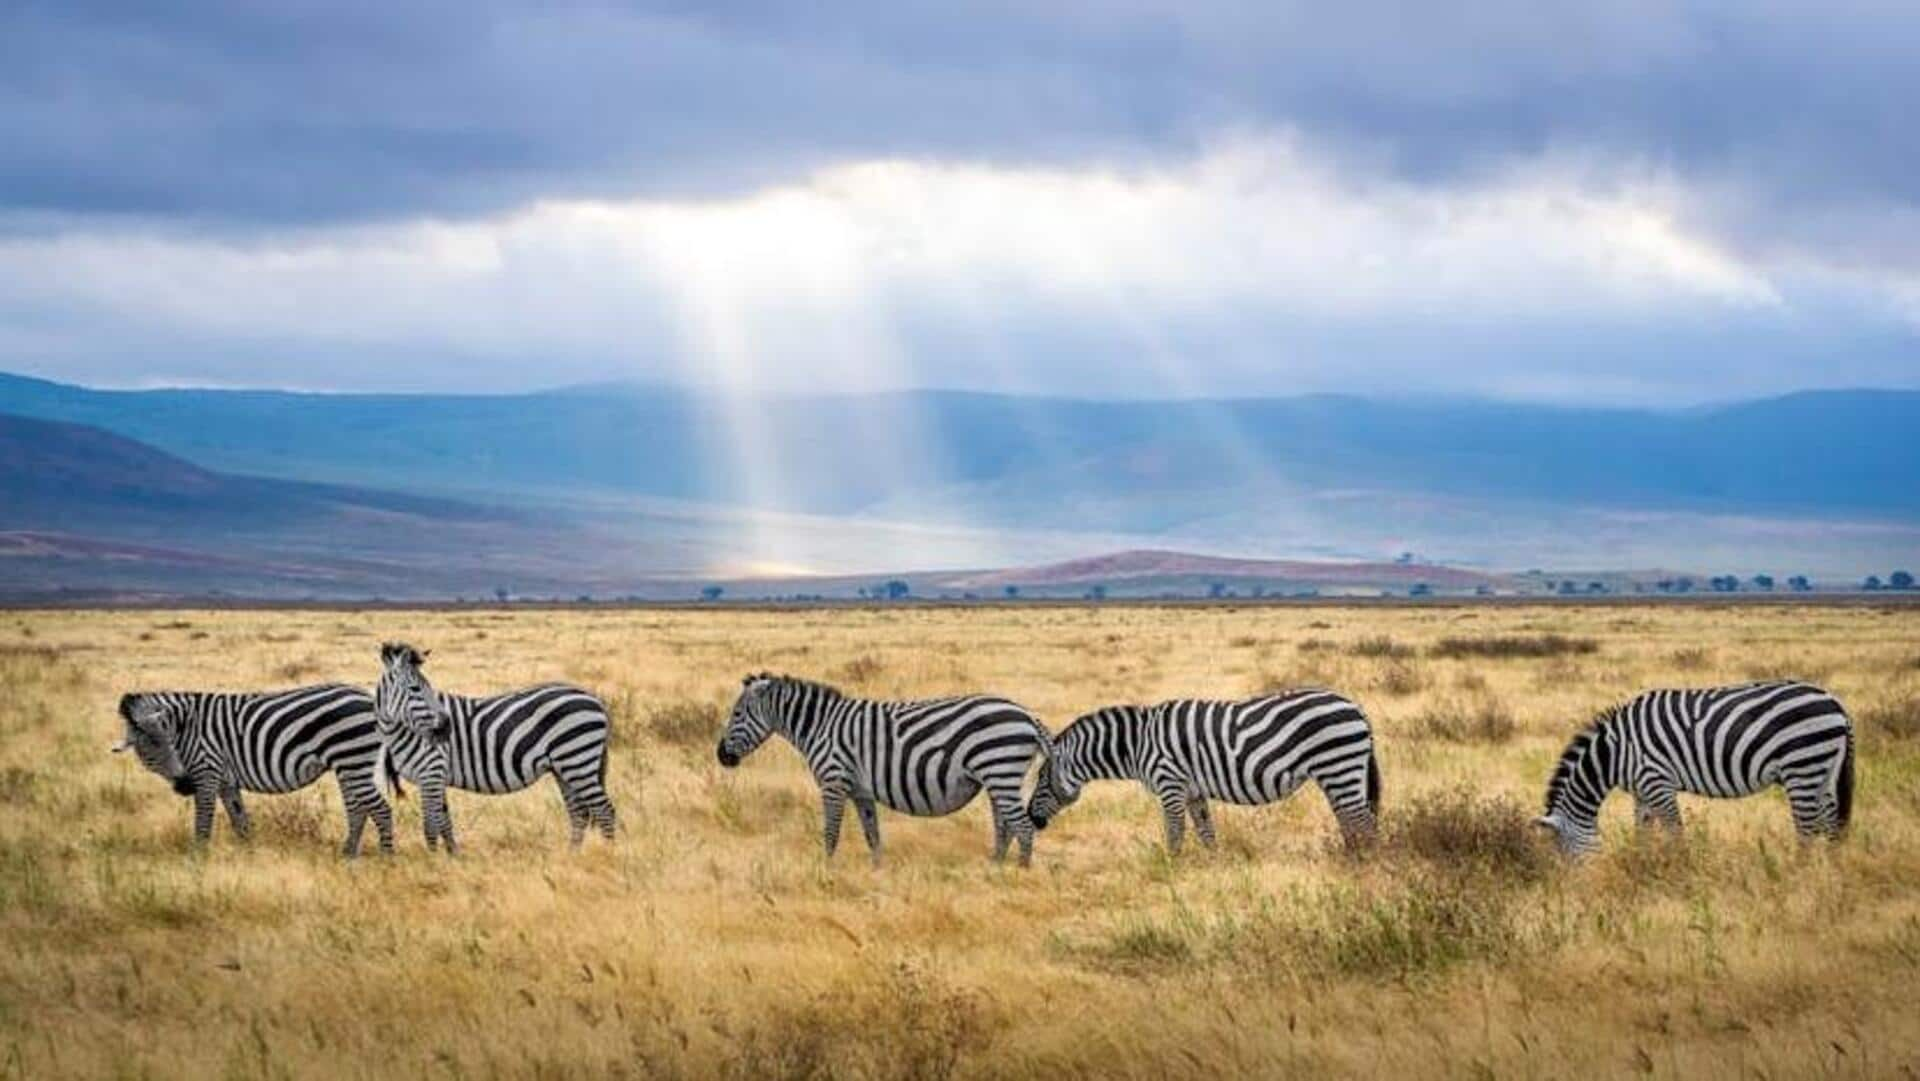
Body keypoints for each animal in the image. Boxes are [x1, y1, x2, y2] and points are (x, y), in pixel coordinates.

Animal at [109, 683, 393, 856]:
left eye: (169, 744)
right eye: (150, 749)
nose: (184, 785)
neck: (186, 727)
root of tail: (369, 697)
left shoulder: (207, 771)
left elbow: (203, 821)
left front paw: (198, 860)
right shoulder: (226, 781)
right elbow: (240, 821)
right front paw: (249, 854)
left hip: (353, 760)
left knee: (381, 809)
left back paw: (386, 859)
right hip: (348, 765)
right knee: (357, 810)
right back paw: (348, 855)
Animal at [368, 641, 614, 856]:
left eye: (427, 688)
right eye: (415, 688)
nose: (446, 728)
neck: (403, 730)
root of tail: (593, 697)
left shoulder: (431, 772)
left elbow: (430, 824)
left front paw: (432, 861)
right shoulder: (436, 776)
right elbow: (444, 822)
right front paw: (453, 857)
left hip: (578, 760)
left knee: (604, 810)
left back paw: (608, 854)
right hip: (565, 767)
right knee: (579, 812)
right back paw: (572, 856)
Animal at [718, 672, 1052, 867]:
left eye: (737, 714)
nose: (721, 756)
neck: (820, 727)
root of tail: (1027, 716)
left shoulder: (833, 781)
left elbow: (831, 832)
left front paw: (826, 870)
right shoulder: (860, 791)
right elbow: (872, 834)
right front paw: (877, 872)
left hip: (999, 770)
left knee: (1023, 826)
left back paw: (1019, 874)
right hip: (999, 778)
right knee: (1005, 826)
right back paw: (994, 868)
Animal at [1029, 691, 1374, 860]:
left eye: (1042, 779)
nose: (1032, 818)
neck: (1137, 744)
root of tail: (1356, 706)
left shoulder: (1170, 784)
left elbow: (1175, 831)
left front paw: (1171, 867)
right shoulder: (1194, 791)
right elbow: (1206, 831)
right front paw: (1212, 867)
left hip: (1339, 765)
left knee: (1362, 819)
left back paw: (1365, 865)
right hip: (1337, 772)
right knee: (1351, 818)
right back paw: (1350, 858)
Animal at [1528, 679, 1858, 860]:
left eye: (1563, 849)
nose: (1576, 886)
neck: (1615, 753)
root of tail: (1835, 702)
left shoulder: (1657, 782)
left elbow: (1675, 833)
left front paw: (1681, 872)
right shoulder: (1642, 791)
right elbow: (1642, 833)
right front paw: (1640, 865)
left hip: (1802, 766)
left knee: (1808, 829)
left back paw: (1797, 876)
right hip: (1824, 770)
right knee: (1831, 824)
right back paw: (1832, 872)